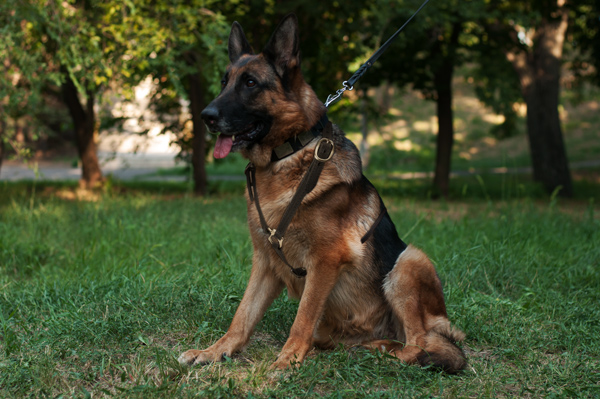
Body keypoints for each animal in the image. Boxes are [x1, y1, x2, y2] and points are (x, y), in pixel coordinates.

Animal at [178, 14, 468, 374]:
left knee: (418, 344)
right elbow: (242, 316)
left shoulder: (324, 261)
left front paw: (286, 361)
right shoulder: (265, 261)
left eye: (250, 83)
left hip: (409, 261)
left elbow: (302, 318)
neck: (288, 155)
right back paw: (370, 348)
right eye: (223, 82)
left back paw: (385, 355)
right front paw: (214, 351)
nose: (206, 117)